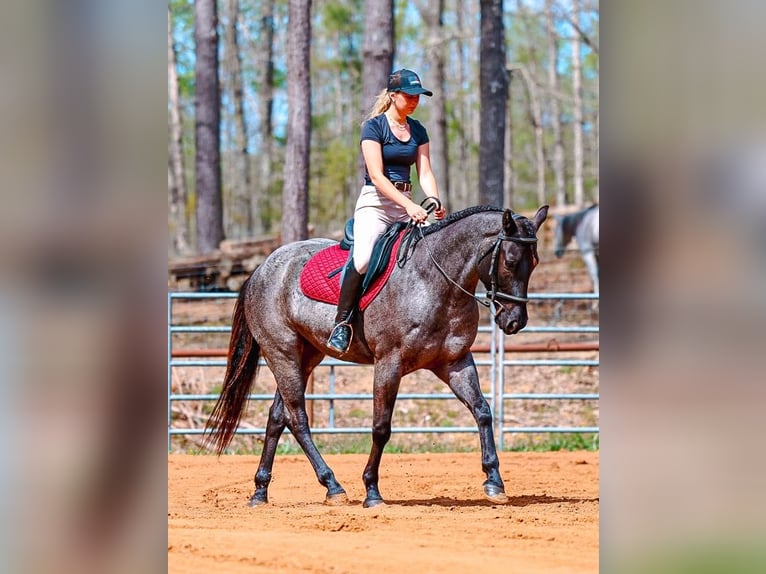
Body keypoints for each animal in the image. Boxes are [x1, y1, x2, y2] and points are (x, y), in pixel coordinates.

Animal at [204, 204, 549, 507]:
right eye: (510, 261)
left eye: (534, 263)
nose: (515, 321)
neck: (433, 279)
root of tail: (261, 268)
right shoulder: (388, 364)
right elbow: (381, 428)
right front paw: (371, 491)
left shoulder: (455, 362)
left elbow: (482, 411)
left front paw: (494, 481)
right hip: (281, 352)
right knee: (298, 419)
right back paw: (333, 486)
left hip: (305, 356)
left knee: (279, 417)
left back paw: (261, 491)